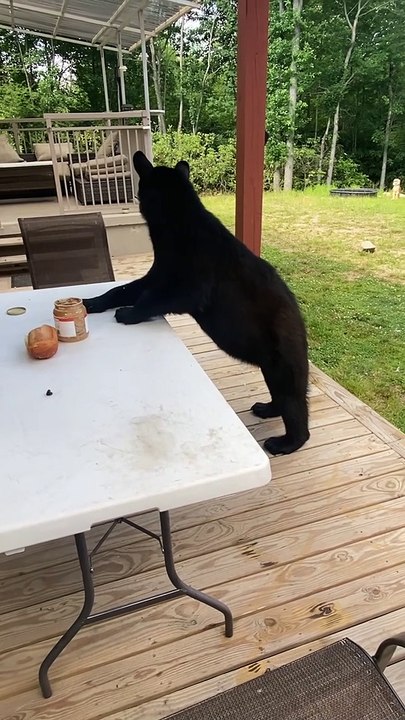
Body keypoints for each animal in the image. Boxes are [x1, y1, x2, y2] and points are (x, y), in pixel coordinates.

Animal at [83, 151, 310, 455]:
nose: (133, 196)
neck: (176, 223)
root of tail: (301, 323)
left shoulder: (192, 277)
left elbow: (160, 297)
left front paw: (129, 313)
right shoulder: (159, 271)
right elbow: (124, 289)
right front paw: (91, 302)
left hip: (283, 354)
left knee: (292, 399)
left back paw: (284, 442)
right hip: (270, 362)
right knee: (279, 391)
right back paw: (267, 408)